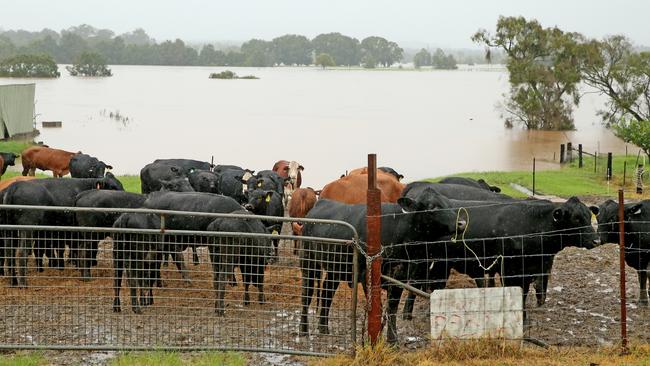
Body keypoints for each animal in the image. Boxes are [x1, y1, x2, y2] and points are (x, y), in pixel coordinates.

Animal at [298, 189, 460, 344]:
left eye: (449, 204)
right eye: (433, 207)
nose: (462, 223)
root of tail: (319, 204)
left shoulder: (399, 276)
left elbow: (392, 308)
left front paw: (392, 340)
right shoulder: (367, 275)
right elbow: (377, 309)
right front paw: (374, 340)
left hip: (336, 268)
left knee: (327, 292)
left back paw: (323, 328)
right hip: (308, 262)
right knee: (307, 294)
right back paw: (303, 331)